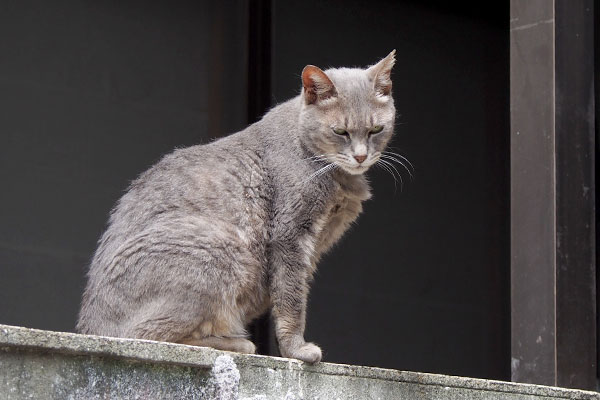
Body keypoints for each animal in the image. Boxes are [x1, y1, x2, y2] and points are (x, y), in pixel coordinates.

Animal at [78, 50, 398, 362]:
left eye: (376, 129)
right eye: (340, 132)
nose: (360, 156)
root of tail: (90, 327)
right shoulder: (289, 235)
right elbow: (291, 299)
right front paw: (296, 350)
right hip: (218, 246)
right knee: (145, 335)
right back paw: (236, 343)